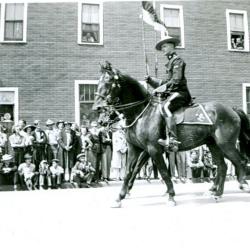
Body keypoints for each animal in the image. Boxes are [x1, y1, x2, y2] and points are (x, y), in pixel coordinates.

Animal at [93, 62, 250, 207]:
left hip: (225, 144)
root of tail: (232, 110)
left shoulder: (153, 150)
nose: (97, 110)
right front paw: (120, 197)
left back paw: (240, 184)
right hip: (214, 145)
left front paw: (171, 196)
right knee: (222, 166)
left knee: (240, 161)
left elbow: (163, 172)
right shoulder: (135, 149)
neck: (142, 113)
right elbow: (129, 171)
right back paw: (216, 192)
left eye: (108, 82)